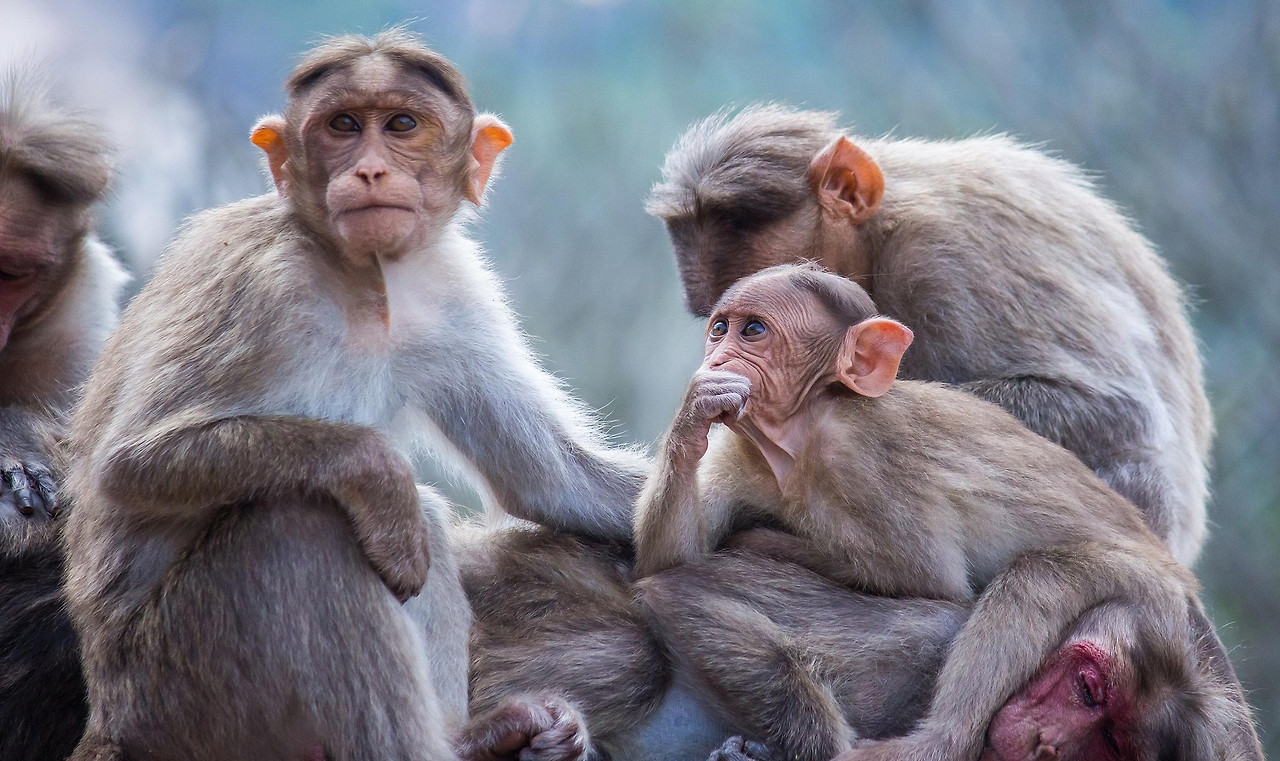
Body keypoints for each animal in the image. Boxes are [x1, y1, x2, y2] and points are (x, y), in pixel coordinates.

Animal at [63, 30, 644, 761]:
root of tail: (104, 716)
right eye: (342, 126)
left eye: (401, 125)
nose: (369, 171)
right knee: (301, 526)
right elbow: (128, 464)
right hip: (178, 693)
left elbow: (549, 478)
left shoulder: (450, 287)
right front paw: (378, 470)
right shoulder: (258, 283)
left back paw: (477, 737)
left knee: (409, 519)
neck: (356, 273)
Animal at [630, 264, 1251, 761]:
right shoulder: (741, 452)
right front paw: (695, 413)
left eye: (753, 330)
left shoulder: (866, 461)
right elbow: (672, 553)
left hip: (1148, 591)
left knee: (1044, 576)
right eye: (721, 327)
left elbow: (931, 583)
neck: (803, 432)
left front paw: (763, 542)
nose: (718, 354)